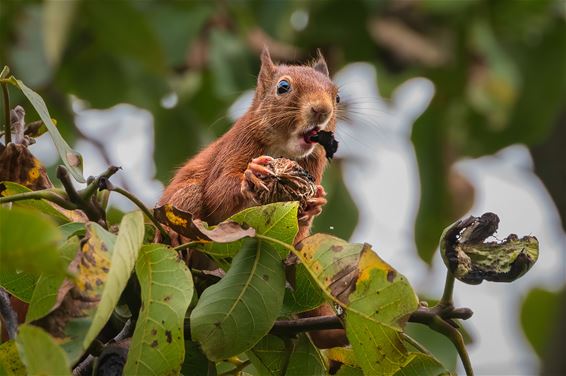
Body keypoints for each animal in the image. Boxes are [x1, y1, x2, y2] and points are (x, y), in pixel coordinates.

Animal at [158, 48, 348, 348]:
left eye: (337, 97)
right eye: (283, 87)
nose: (322, 110)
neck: (284, 148)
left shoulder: (314, 164)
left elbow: (299, 226)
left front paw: (316, 204)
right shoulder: (238, 144)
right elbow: (217, 191)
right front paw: (250, 176)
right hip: (184, 200)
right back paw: (177, 237)